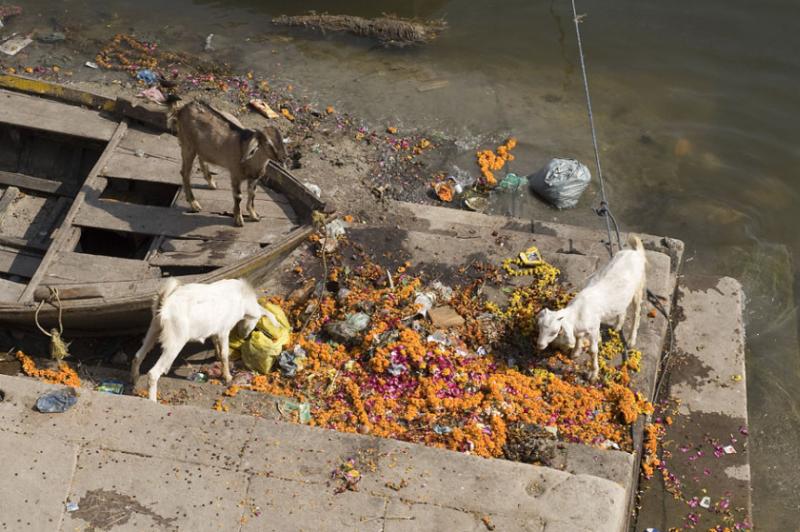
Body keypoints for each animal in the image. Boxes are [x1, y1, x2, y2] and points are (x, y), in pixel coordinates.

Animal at [131, 276, 278, 402]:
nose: (244, 336)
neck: (243, 296)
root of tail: (165, 304)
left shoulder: (215, 330)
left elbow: (215, 343)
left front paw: (217, 357)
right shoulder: (224, 330)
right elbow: (225, 354)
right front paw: (228, 377)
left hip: (154, 329)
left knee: (138, 355)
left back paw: (134, 380)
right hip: (175, 340)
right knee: (153, 373)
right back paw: (152, 400)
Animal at [536, 235, 648, 380]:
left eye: (554, 332)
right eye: (539, 326)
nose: (540, 345)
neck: (577, 313)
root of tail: (635, 252)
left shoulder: (594, 328)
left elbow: (592, 350)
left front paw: (593, 373)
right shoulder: (579, 329)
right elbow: (578, 338)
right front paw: (575, 353)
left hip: (638, 288)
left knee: (636, 313)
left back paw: (630, 340)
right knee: (622, 309)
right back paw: (617, 326)